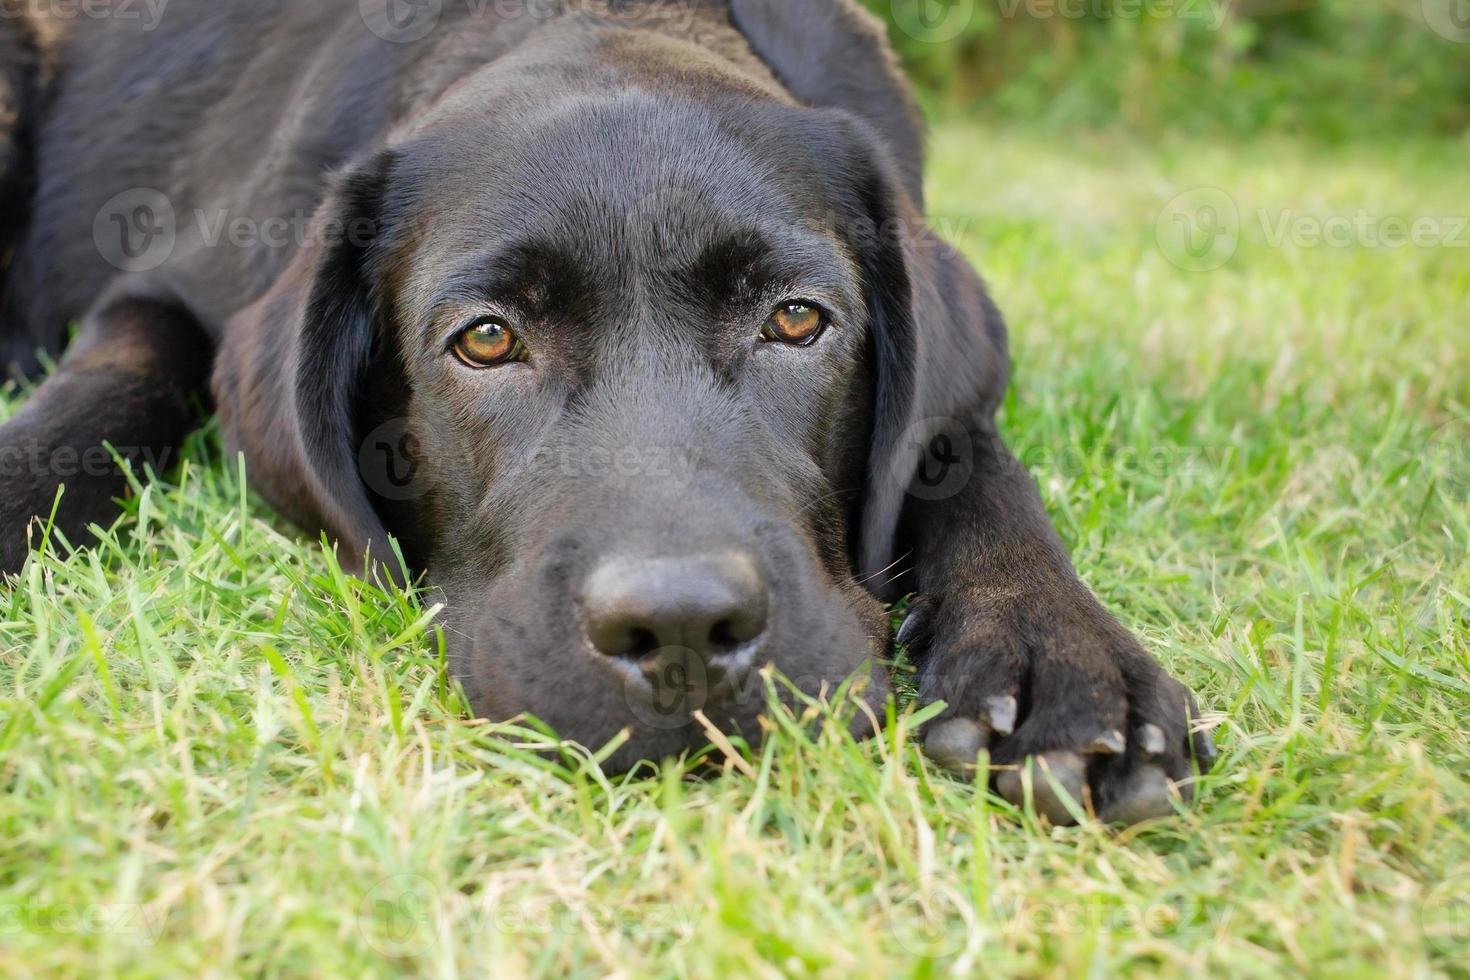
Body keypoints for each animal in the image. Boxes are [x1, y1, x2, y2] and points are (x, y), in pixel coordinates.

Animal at [0, 0, 1217, 822]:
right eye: (487, 339)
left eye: (796, 320)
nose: (679, 629)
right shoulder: (165, 287)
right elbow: (112, 388)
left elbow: (970, 455)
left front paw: (1059, 656)